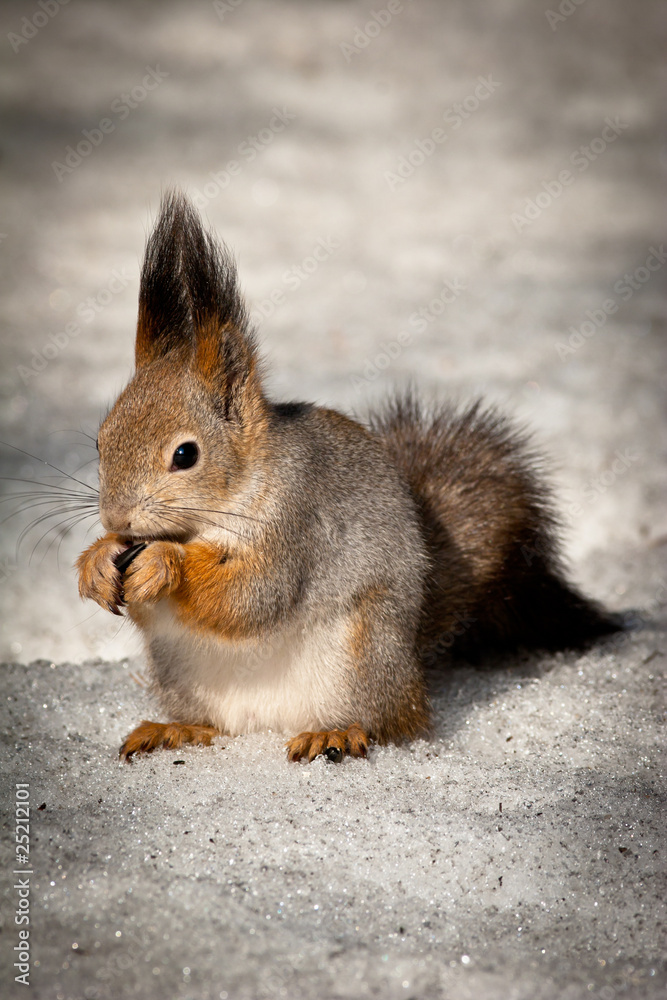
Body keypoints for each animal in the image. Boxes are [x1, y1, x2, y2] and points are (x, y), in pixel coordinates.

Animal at [76, 191, 618, 763]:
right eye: (101, 441)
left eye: (185, 454)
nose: (115, 518)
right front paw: (96, 561)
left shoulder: (296, 525)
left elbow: (252, 597)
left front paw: (164, 563)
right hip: (183, 671)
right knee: (215, 725)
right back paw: (176, 729)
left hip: (361, 655)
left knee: (387, 725)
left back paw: (336, 732)